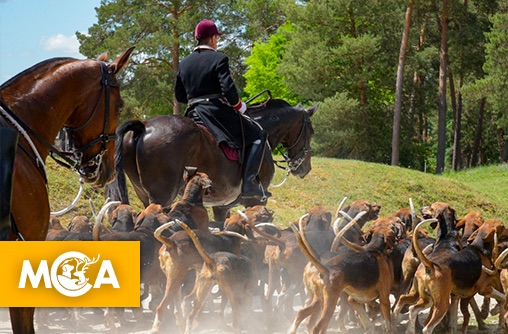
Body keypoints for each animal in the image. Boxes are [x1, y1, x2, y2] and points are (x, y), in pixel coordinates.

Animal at [107, 98, 318, 220]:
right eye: (311, 130)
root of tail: (144, 126)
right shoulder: (255, 202)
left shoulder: (221, 207)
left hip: (143, 194)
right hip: (162, 196)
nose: (305, 168)